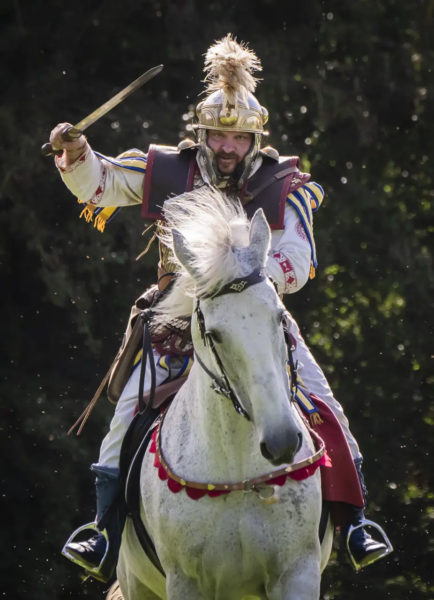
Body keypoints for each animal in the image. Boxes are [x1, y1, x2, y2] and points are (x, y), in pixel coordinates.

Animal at [113, 189, 330, 600]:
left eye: (280, 317)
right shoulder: (185, 582)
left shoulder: (297, 573)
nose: (281, 441)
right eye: (214, 334)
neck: (241, 475)